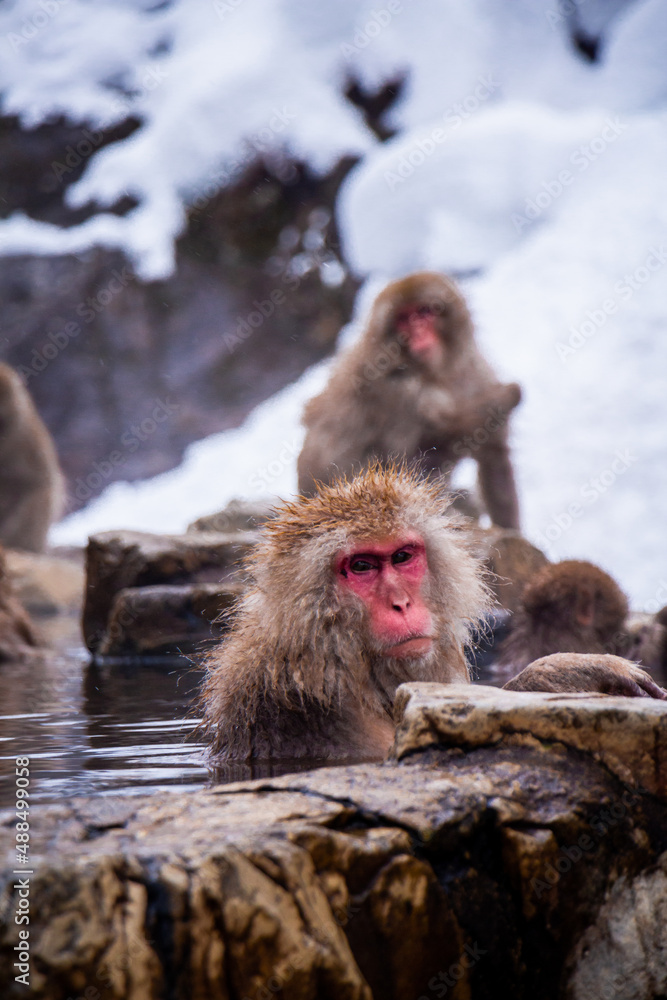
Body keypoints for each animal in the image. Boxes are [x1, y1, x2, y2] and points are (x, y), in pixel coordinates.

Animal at [297, 272, 522, 529]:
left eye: (424, 312)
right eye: (404, 319)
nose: (419, 332)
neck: (436, 373)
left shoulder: (475, 372)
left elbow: (493, 455)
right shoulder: (393, 389)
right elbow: (411, 461)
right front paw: (503, 401)